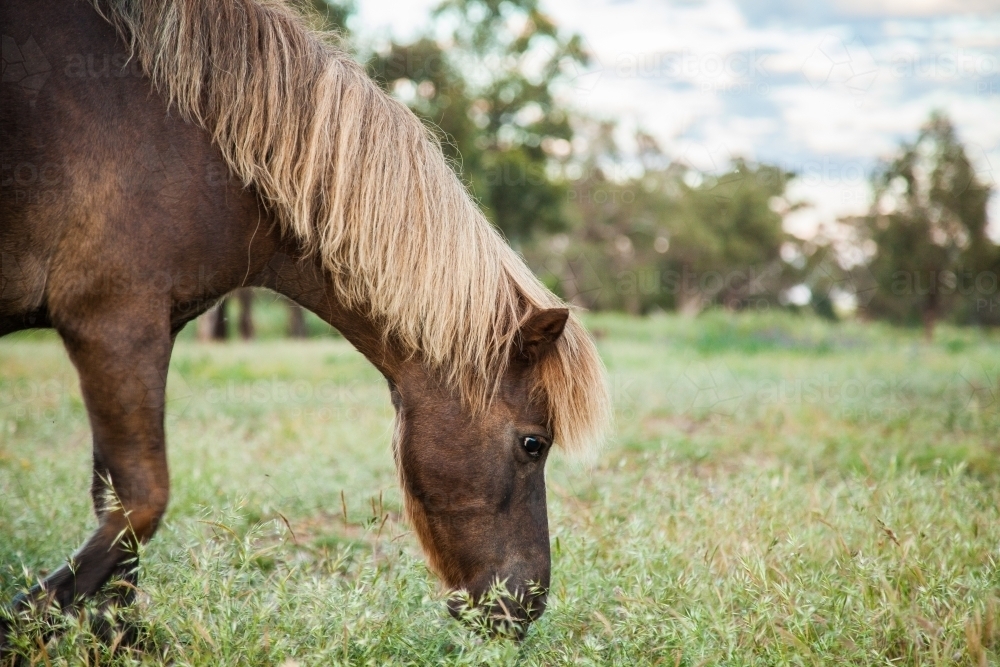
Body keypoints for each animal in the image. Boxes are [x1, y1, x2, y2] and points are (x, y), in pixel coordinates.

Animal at [0, 0, 608, 648]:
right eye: (533, 443)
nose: (528, 606)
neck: (202, 141)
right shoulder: (114, 322)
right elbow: (139, 501)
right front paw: (27, 621)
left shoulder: (144, 334)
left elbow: (115, 512)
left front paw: (114, 634)